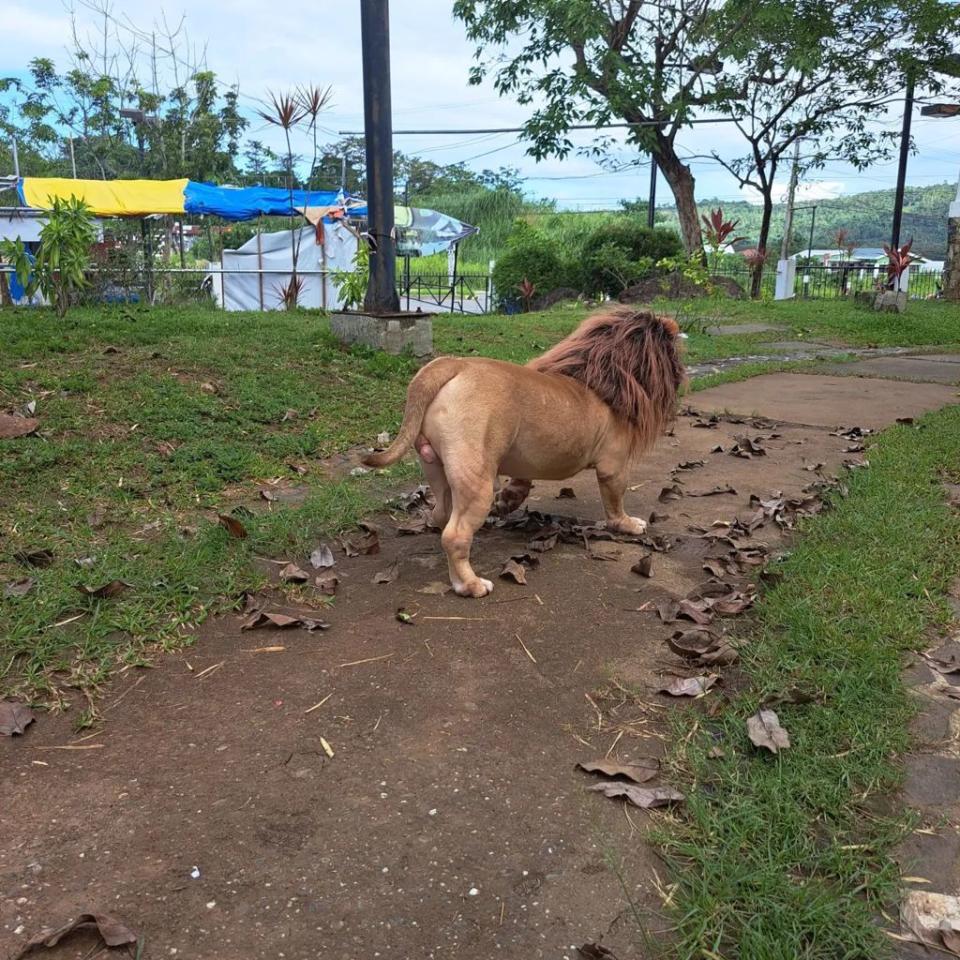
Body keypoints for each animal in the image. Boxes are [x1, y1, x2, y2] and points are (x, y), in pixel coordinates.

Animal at [364, 308, 688, 596]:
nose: (682, 374)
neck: (600, 375)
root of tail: (454, 365)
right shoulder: (614, 467)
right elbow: (615, 503)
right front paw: (627, 524)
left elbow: (521, 482)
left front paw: (509, 501)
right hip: (478, 481)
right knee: (455, 535)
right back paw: (470, 585)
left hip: (438, 470)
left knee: (443, 515)